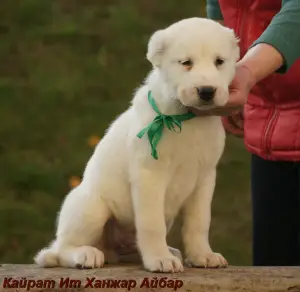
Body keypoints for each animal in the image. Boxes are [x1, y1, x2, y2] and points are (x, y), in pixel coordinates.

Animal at [34, 17, 239, 272]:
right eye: (186, 63)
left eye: (219, 62)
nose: (207, 91)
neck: (185, 118)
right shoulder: (149, 176)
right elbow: (152, 224)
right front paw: (159, 259)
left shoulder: (204, 178)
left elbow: (199, 223)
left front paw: (202, 255)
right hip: (90, 206)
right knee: (60, 250)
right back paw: (85, 254)